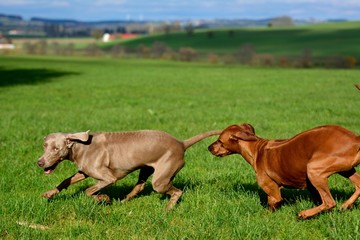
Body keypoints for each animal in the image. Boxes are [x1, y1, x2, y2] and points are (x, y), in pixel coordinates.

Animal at [38, 129, 221, 210]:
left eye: (56, 149)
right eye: (44, 145)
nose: (39, 162)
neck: (80, 147)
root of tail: (181, 143)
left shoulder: (108, 178)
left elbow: (89, 191)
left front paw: (104, 198)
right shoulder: (83, 171)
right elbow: (65, 181)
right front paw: (49, 193)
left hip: (160, 179)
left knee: (177, 191)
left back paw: (168, 209)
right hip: (147, 168)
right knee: (139, 186)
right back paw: (124, 201)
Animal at [208, 124, 360, 219]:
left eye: (220, 141)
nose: (209, 147)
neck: (256, 149)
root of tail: (355, 139)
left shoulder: (273, 193)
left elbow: (272, 204)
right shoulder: (310, 187)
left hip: (313, 169)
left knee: (330, 202)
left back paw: (305, 214)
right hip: (346, 170)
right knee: (358, 185)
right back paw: (346, 205)